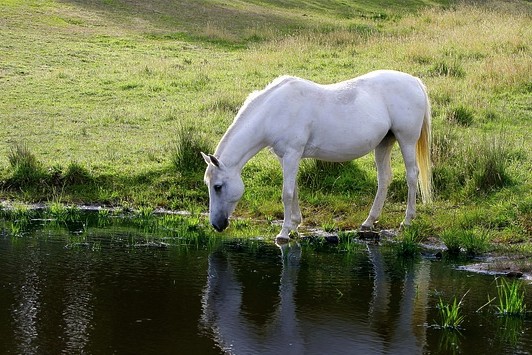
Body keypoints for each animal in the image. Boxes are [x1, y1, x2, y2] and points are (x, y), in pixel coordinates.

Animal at [202, 69, 430, 241]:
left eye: (218, 186)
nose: (217, 224)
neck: (274, 111)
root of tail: (415, 81)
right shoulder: (285, 157)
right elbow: (294, 189)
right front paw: (295, 224)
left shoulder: (292, 154)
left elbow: (287, 193)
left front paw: (283, 233)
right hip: (384, 143)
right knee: (384, 179)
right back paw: (368, 221)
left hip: (406, 140)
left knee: (412, 176)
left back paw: (407, 220)